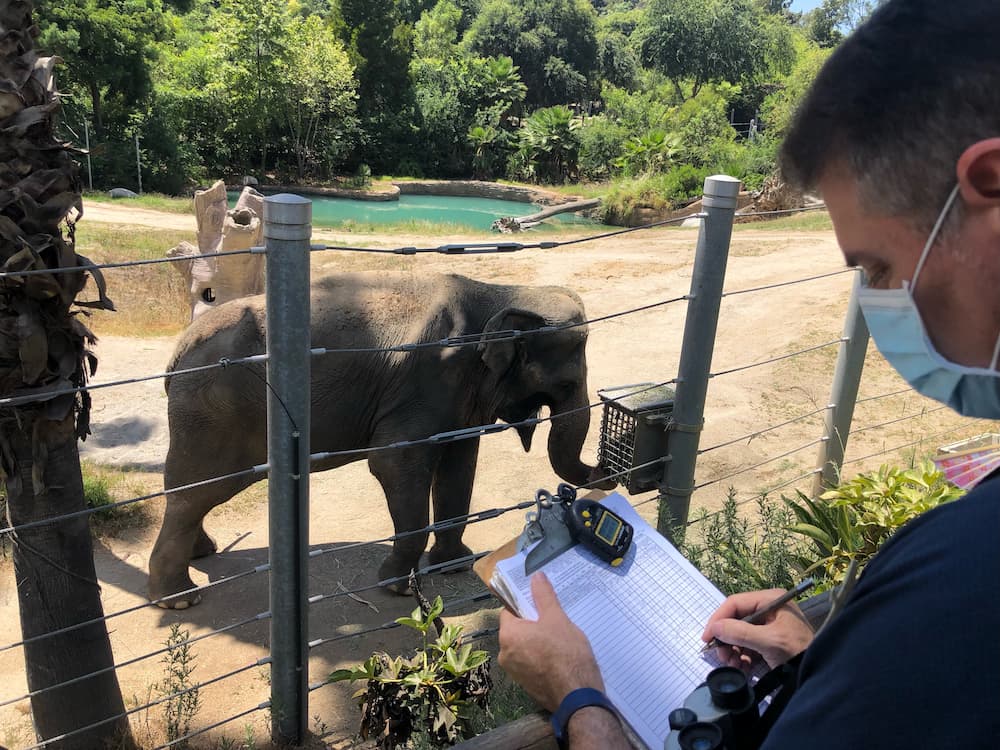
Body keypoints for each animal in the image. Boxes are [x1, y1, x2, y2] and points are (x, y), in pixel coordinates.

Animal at [149, 274, 612, 608]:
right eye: (565, 384)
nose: (604, 469)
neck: (498, 292)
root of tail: (177, 351)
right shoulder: (425, 382)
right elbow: (393, 463)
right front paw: (398, 588)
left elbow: (460, 463)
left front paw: (455, 566)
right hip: (210, 413)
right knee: (195, 491)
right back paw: (179, 599)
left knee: (195, 495)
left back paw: (202, 554)